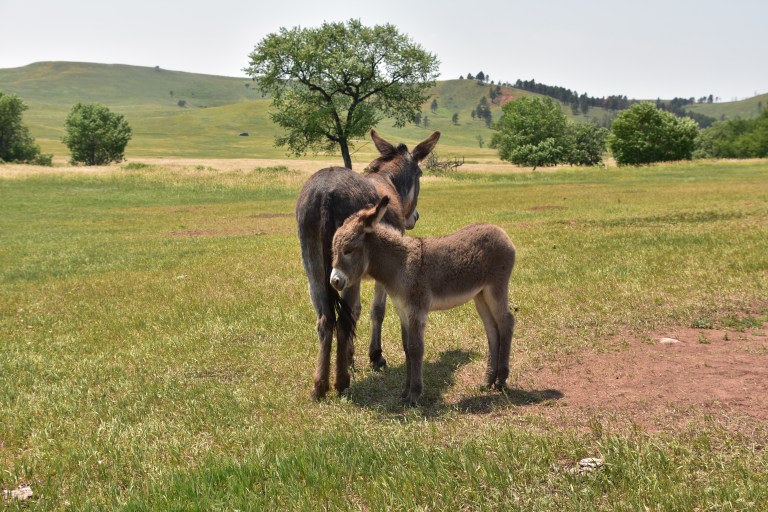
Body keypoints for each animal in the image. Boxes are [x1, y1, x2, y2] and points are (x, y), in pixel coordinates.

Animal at [296, 130, 440, 399]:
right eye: (420, 174)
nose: (415, 217)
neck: (388, 179)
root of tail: (325, 193)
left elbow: (356, 310)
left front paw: (350, 356)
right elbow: (376, 310)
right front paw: (375, 356)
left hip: (314, 268)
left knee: (326, 320)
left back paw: (320, 385)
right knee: (341, 321)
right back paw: (341, 382)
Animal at [330, 196, 516, 406]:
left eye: (348, 250)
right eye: (333, 250)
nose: (334, 281)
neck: (400, 264)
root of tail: (500, 231)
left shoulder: (416, 310)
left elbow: (415, 348)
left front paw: (414, 395)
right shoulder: (402, 311)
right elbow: (406, 348)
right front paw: (405, 391)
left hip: (496, 288)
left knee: (506, 322)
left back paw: (501, 380)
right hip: (481, 295)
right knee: (492, 329)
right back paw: (488, 380)